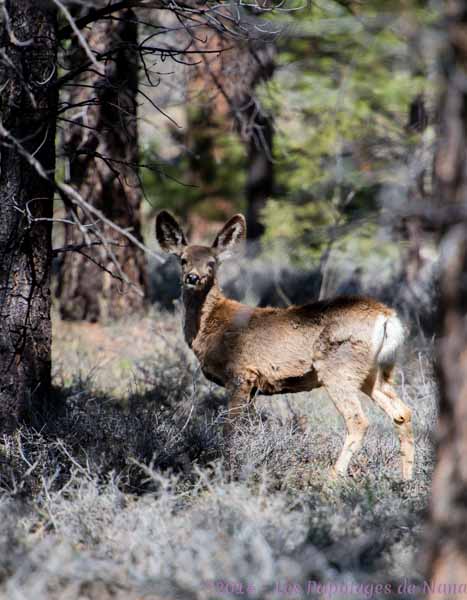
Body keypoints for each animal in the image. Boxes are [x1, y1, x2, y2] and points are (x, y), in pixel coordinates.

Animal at [155, 212, 414, 482]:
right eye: (183, 260)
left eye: (212, 263)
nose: (192, 278)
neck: (211, 327)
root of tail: (386, 317)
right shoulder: (253, 387)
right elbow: (247, 428)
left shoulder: (240, 374)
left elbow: (230, 428)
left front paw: (227, 468)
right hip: (372, 372)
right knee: (402, 413)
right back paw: (406, 479)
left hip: (338, 367)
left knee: (358, 421)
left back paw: (332, 478)